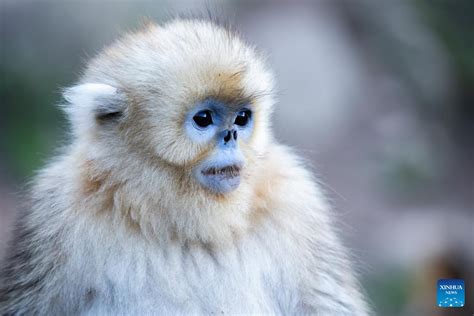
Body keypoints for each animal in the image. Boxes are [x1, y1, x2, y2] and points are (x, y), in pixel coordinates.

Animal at [0, 18, 370, 314]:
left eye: (242, 118)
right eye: (203, 119)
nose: (231, 135)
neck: (182, 226)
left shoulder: (295, 197)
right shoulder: (56, 208)